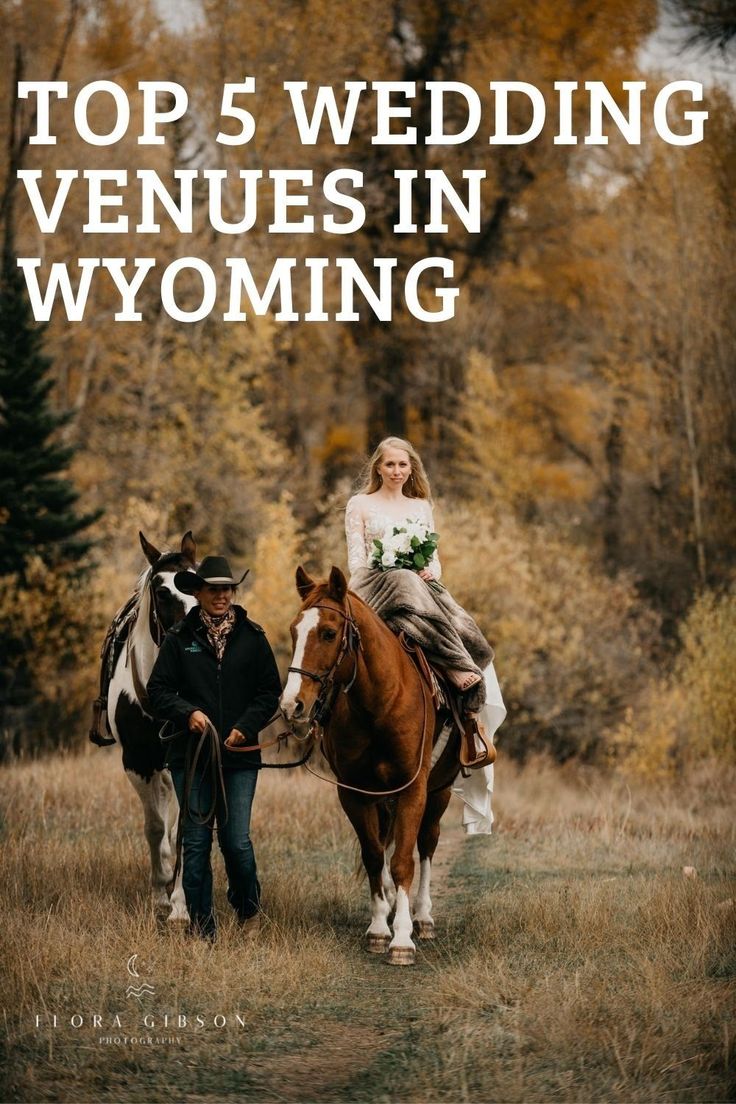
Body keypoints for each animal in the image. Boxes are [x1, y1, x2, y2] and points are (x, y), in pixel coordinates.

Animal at [282, 569, 461, 967]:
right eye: (293, 630)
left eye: (329, 632)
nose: (291, 705)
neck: (380, 704)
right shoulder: (354, 792)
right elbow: (374, 856)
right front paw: (380, 928)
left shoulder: (413, 789)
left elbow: (403, 862)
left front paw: (402, 940)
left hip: (439, 793)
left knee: (427, 844)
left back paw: (423, 918)